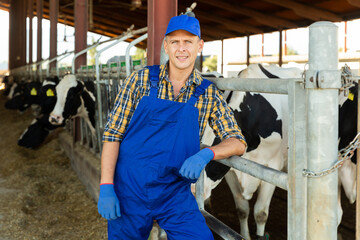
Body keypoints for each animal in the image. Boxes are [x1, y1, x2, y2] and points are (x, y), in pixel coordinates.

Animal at [201, 63, 358, 240]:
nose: (194, 190)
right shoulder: (232, 170)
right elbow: (242, 209)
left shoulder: (272, 168)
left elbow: (260, 213)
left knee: (336, 213)